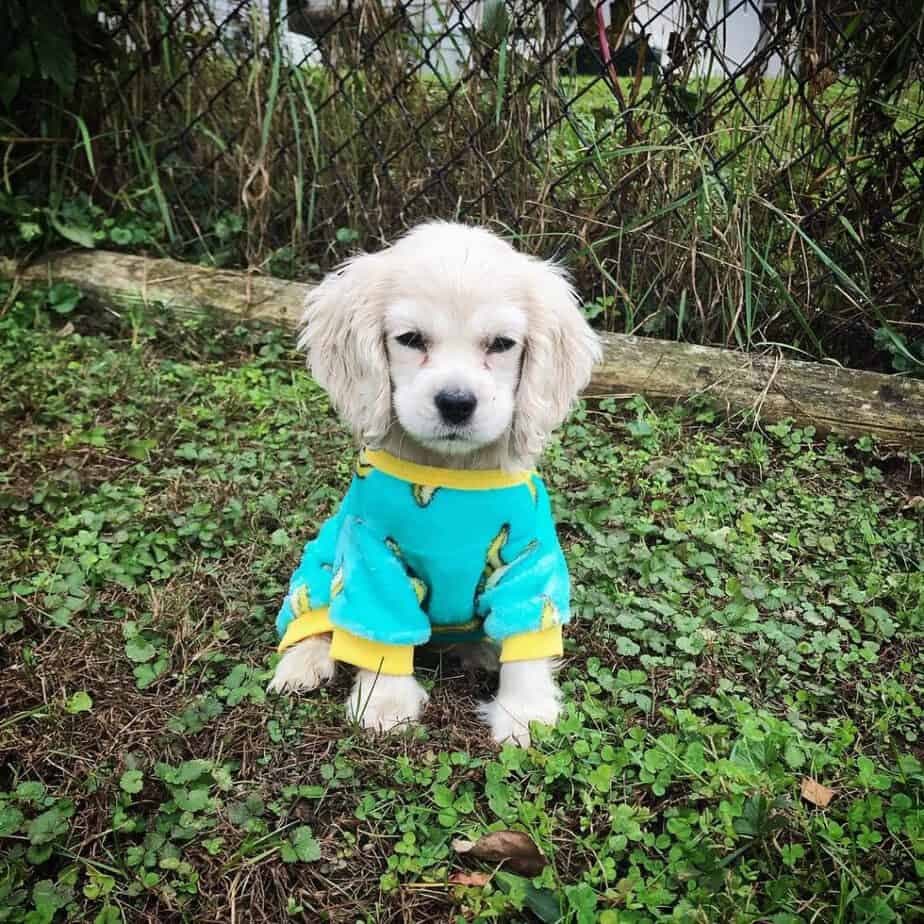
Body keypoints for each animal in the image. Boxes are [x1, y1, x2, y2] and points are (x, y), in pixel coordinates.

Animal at [268, 220, 600, 748]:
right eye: (410, 339)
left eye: (501, 345)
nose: (456, 403)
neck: (451, 475)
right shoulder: (371, 558)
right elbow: (380, 630)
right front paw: (384, 703)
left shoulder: (528, 559)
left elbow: (527, 637)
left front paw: (525, 711)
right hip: (319, 567)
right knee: (314, 623)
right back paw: (302, 664)